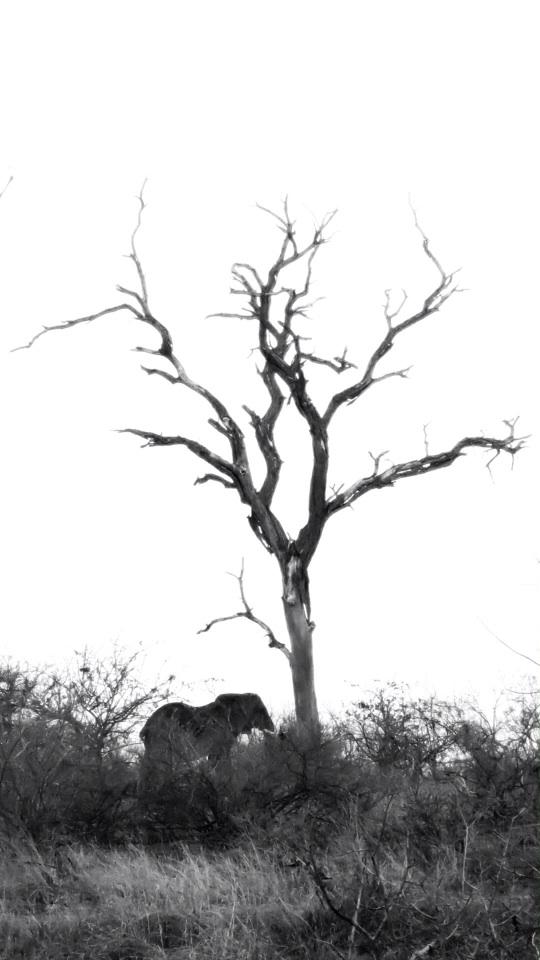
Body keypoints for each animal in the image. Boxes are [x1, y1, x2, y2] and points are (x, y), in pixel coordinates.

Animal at [139, 693, 274, 777]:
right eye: (261, 710)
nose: (272, 729)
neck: (239, 694)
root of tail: (145, 728)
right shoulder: (221, 734)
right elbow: (222, 758)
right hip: (160, 739)